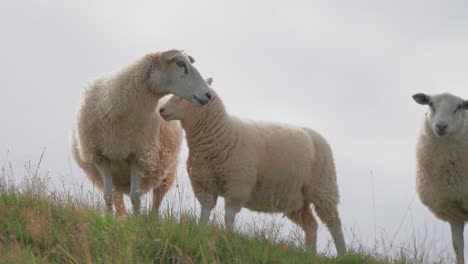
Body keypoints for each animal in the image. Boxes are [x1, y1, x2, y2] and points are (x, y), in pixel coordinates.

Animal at [70, 49, 211, 214]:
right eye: (180, 63)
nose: (208, 95)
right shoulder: (99, 156)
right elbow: (108, 195)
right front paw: (108, 218)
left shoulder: (139, 156)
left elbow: (135, 197)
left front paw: (137, 219)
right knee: (117, 198)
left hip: (166, 174)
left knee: (156, 202)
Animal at [159, 79, 346, 256]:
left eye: (183, 96)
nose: (161, 110)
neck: (221, 133)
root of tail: (316, 135)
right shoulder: (203, 185)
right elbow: (205, 212)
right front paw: (201, 232)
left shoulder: (237, 186)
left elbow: (228, 217)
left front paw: (228, 239)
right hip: (294, 198)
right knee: (311, 224)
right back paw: (310, 254)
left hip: (323, 187)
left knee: (334, 223)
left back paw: (342, 254)